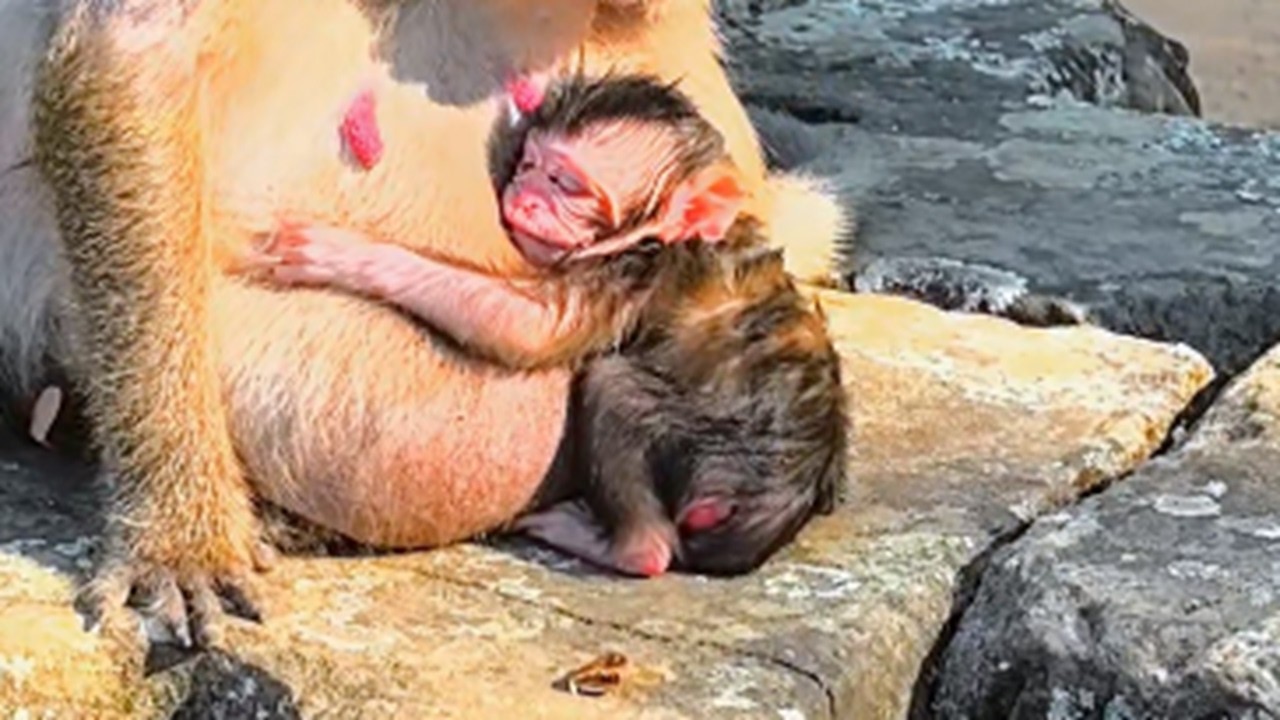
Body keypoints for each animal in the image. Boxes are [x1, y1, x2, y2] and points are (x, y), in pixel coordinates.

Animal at [244, 74, 850, 578]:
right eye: (530, 166)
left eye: (565, 182)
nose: (526, 196)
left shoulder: (634, 267)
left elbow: (528, 327)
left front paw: (345, 255)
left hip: (717, 449)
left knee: (615, 388)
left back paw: (630, 546)